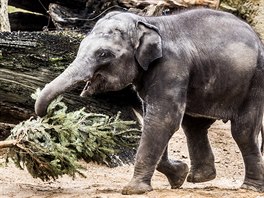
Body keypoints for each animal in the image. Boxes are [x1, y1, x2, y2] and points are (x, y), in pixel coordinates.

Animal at [35, 8, 264, 194]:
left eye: (103, 54)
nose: (48, 114)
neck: (148, 21)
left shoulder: (171, 67)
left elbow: (162, 120)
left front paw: (132, 190)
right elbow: (154, 121)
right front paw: (178, 176)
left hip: (256, 80)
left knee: (243, 131)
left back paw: (249, 188)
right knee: (194, 126)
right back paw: (200, 178)